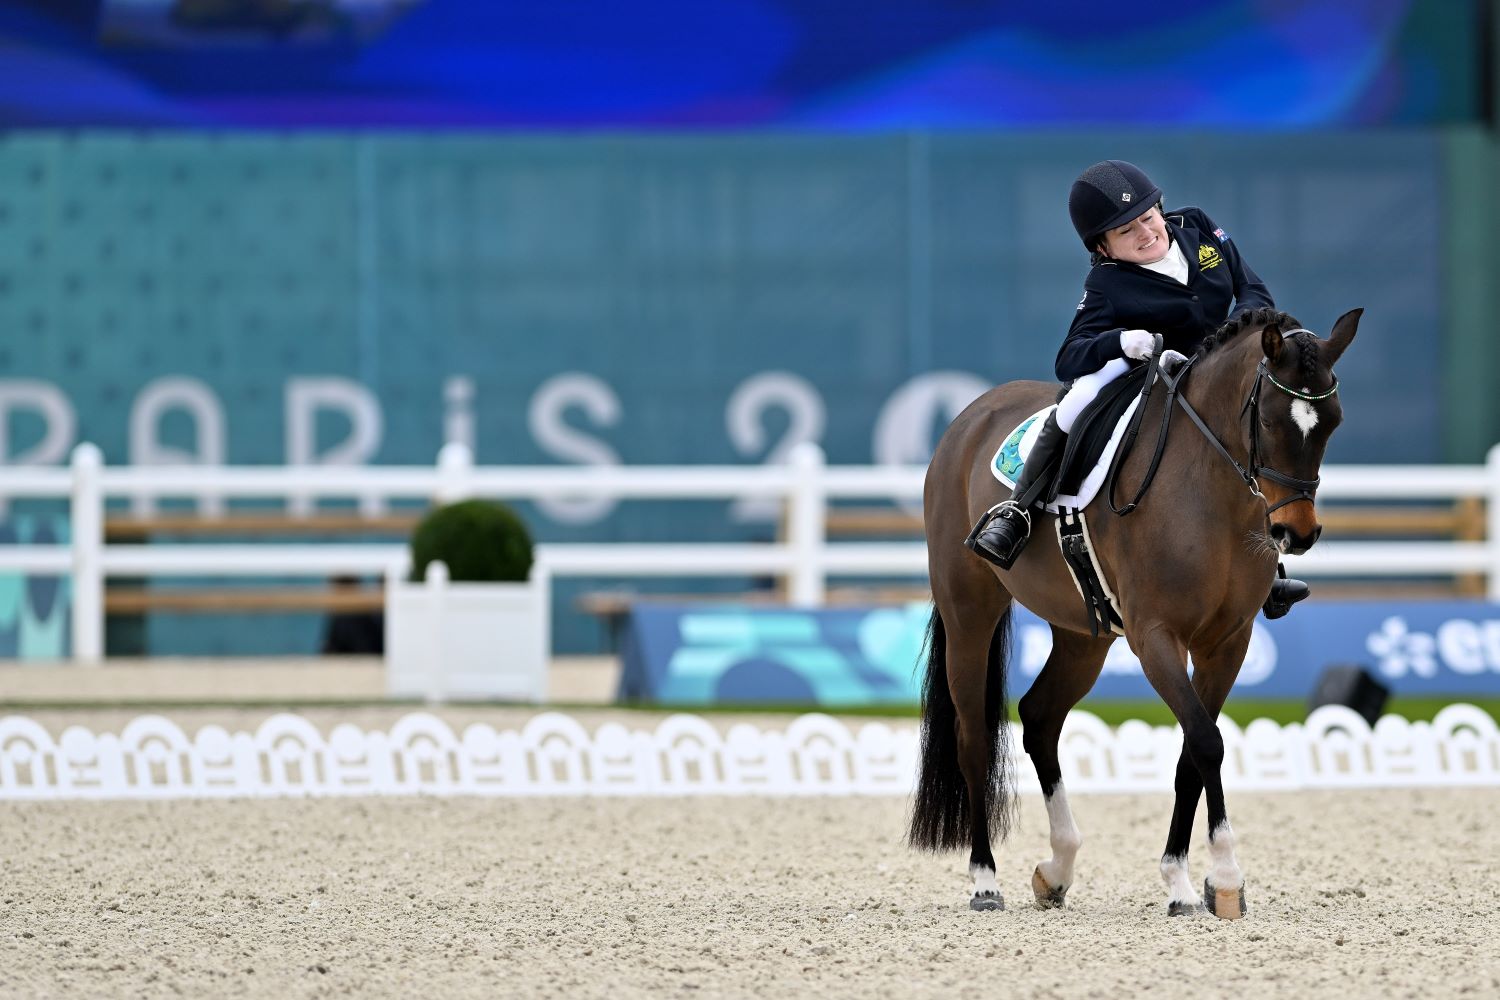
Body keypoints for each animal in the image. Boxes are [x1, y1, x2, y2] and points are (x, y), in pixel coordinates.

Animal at [912, 308, 1362, 917]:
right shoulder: (1156, 636)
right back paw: (985, 880)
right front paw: (1218, 878)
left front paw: (1191, 880)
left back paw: (1057, 869)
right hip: (968, 612)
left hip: (1084, 637)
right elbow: (1206, 742)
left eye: (1332, 422)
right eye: (1268, 420)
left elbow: (1192, 753)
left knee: (1040, 717)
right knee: (974, 737)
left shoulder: (1228, 643)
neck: (1211, 493)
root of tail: (972, 415)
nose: (1297, 533)